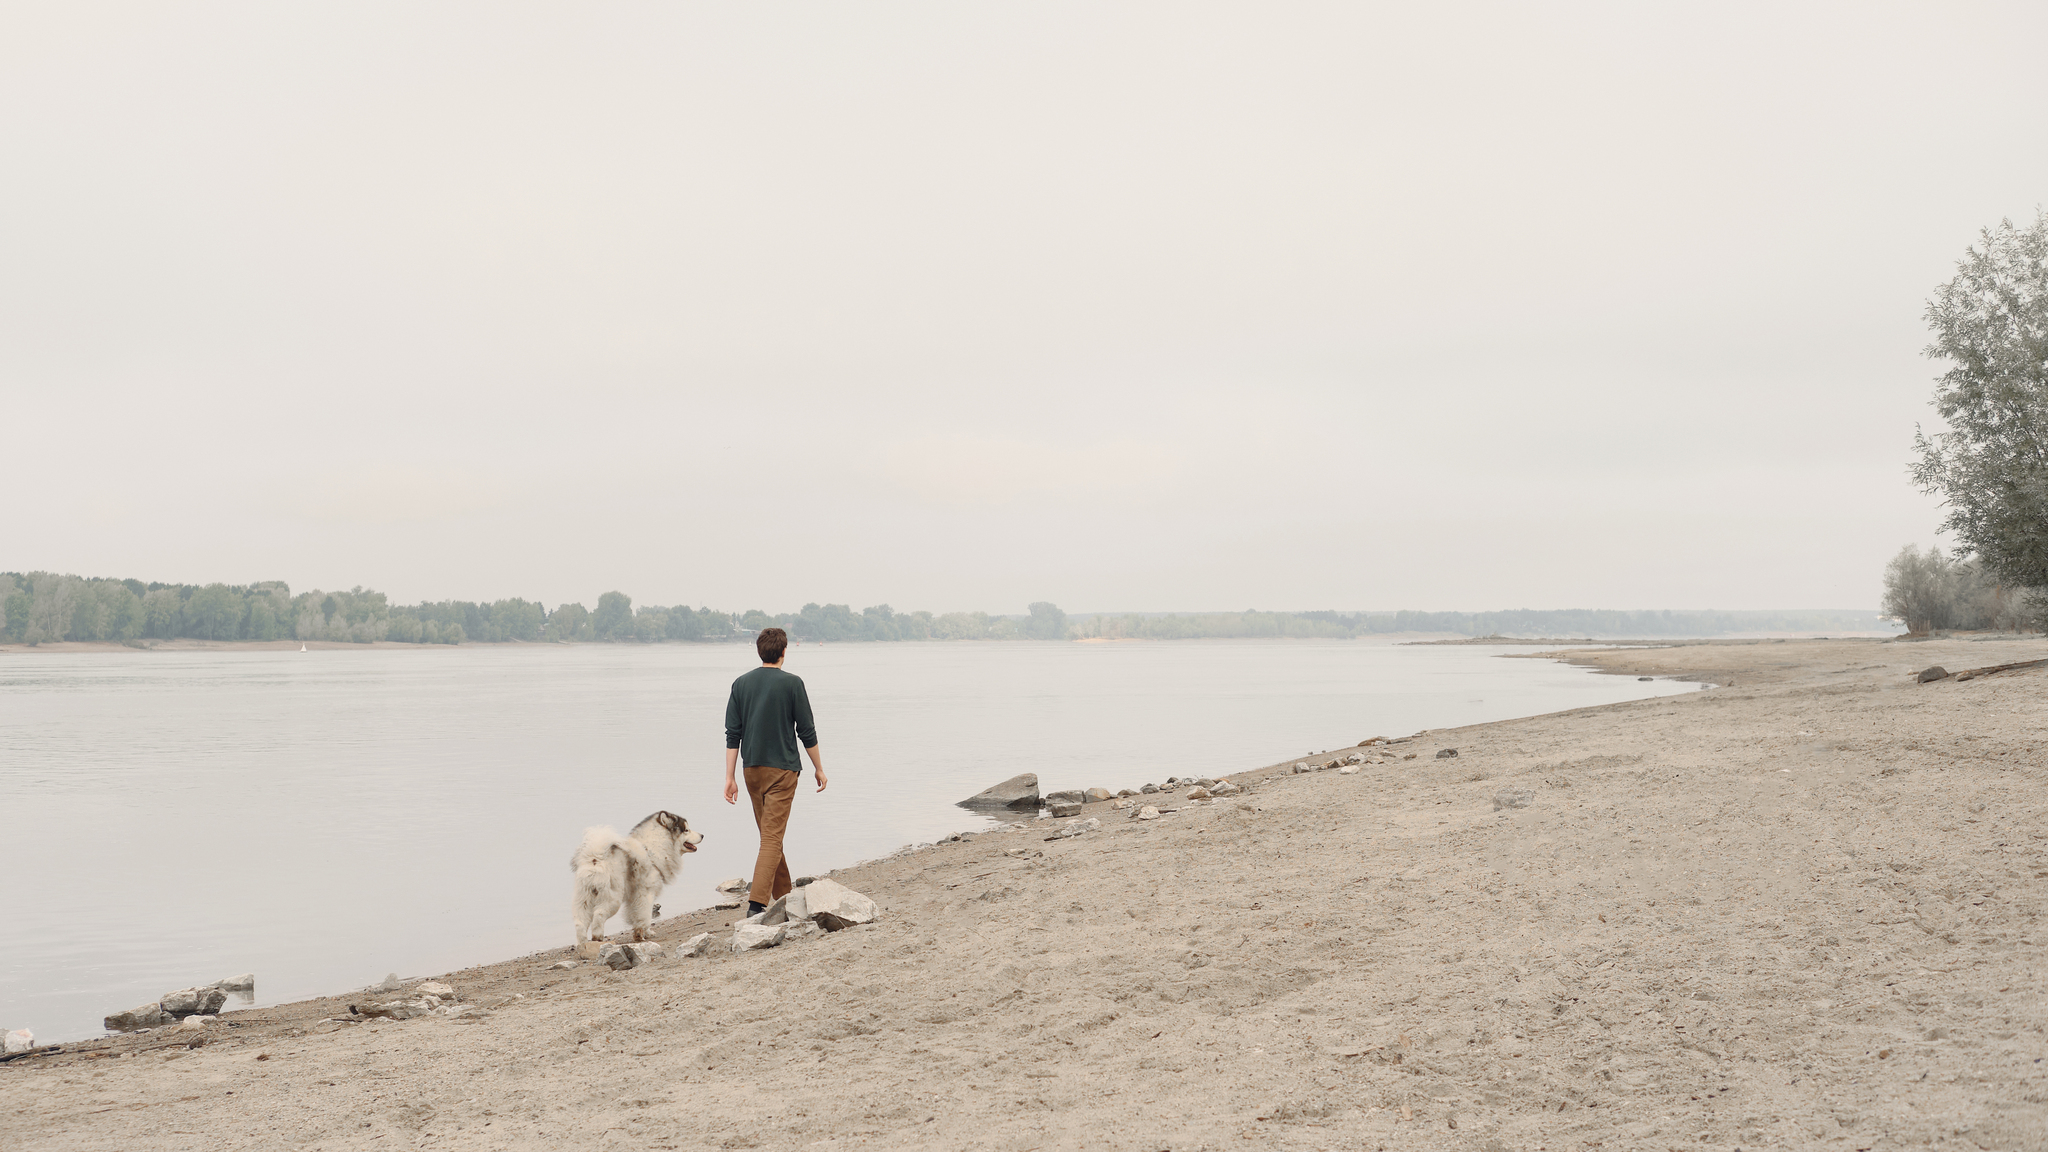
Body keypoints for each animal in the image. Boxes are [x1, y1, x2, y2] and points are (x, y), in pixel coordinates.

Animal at [569, 803, 704, 947]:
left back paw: (582, 943)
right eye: (686, 830)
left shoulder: (634, 897)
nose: (702, 835)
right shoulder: (646, 894)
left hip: (583, 899)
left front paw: (644, 933)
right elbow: (645, 916)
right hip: (612, 899)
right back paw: (598, 937)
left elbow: (637, 916)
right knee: (599, 915)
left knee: (580, 923)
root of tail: (595, 859)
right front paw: (642, 935)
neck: (652, 849)